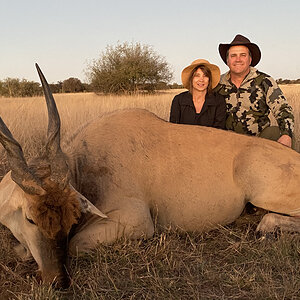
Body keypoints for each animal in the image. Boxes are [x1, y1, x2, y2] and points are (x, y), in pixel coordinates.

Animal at [0, 64, 300, 288]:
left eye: (72, 219)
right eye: (30, 218)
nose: (58, 281)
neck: (83, 165)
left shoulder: (137, 222)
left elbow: (73, 244)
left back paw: (265, 227)